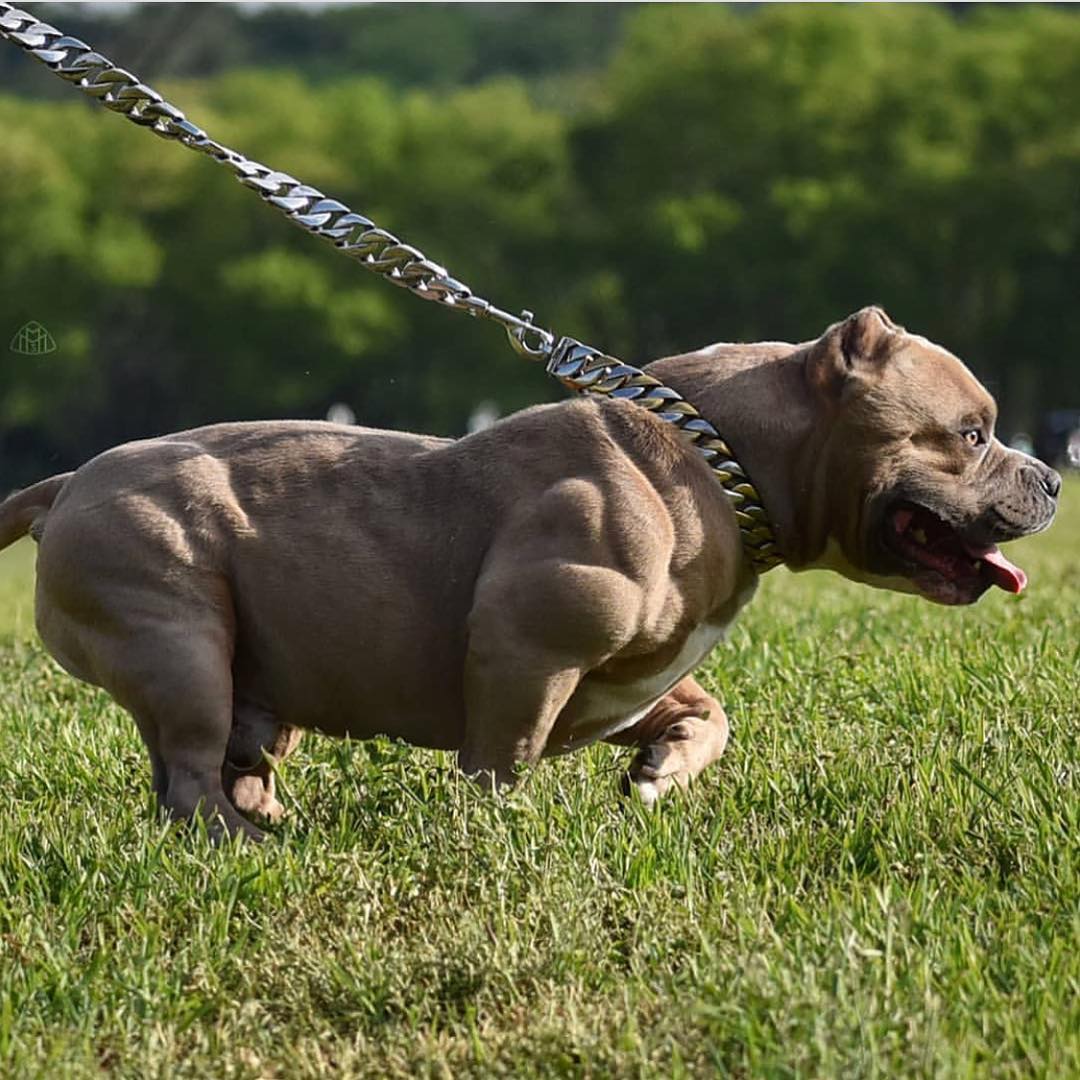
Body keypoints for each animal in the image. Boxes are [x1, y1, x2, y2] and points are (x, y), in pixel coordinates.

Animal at [0, 308, 1058, 838]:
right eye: (971, 435)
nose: (1051, 476)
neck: (721, 461)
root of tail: (65, 483)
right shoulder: (527, 650)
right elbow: (500, 762)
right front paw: (495, 840)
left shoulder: (629, 678)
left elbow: (707, 713)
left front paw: (660, 775)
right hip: (180, 645)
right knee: (187, 771)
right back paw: (242, 845)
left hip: (251, 683)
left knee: (229, 767)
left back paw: (275, 829)